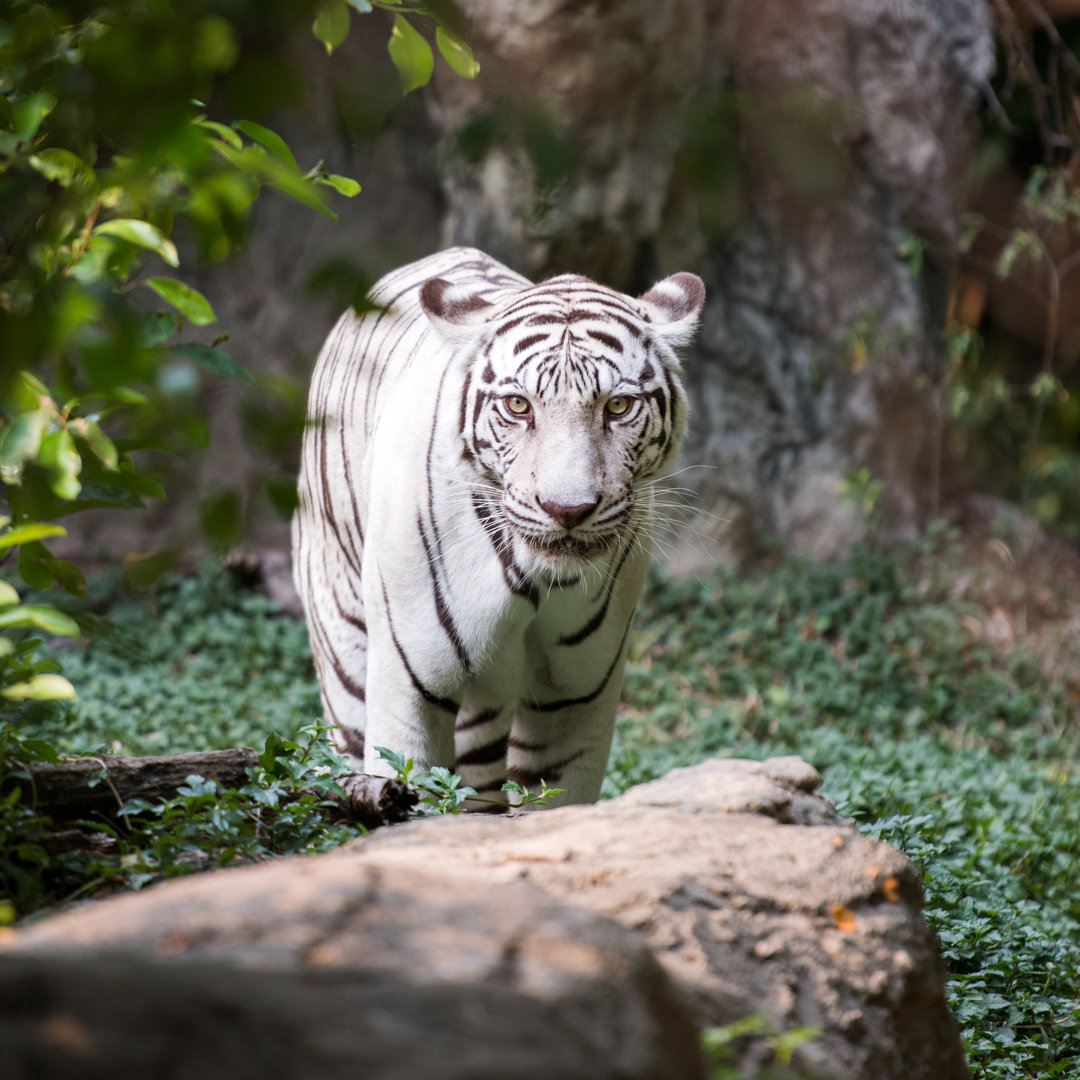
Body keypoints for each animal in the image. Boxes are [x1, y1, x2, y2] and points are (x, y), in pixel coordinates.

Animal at [291, 245, 704, 803]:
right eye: (518, 405)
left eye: (617, 406)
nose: (567, 509)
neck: (538, 579)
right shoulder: (409, 687)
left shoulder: (576, 698)